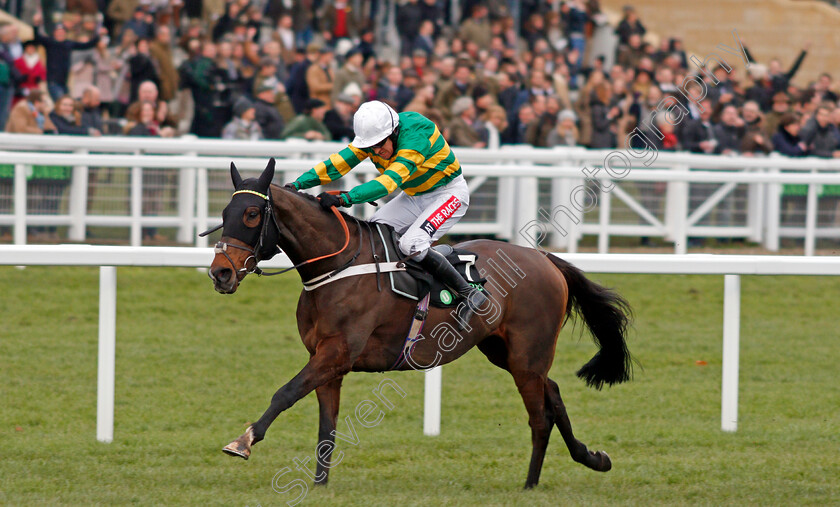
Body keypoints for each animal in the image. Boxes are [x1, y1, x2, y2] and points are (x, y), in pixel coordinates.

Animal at [208, 158, 632, 488]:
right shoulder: (326, 360)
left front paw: (243, 441)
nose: (220, 273)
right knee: (554, 393)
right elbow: (326, 426)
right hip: (505, 351)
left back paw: (530, 484)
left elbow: (285, 393)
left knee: (540, 417)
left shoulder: (336, 353)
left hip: (527, 356)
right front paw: (319, 485)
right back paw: (592, 457)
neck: (338, 267)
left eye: (251, 214)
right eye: (224, 215)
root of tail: (544, 258)